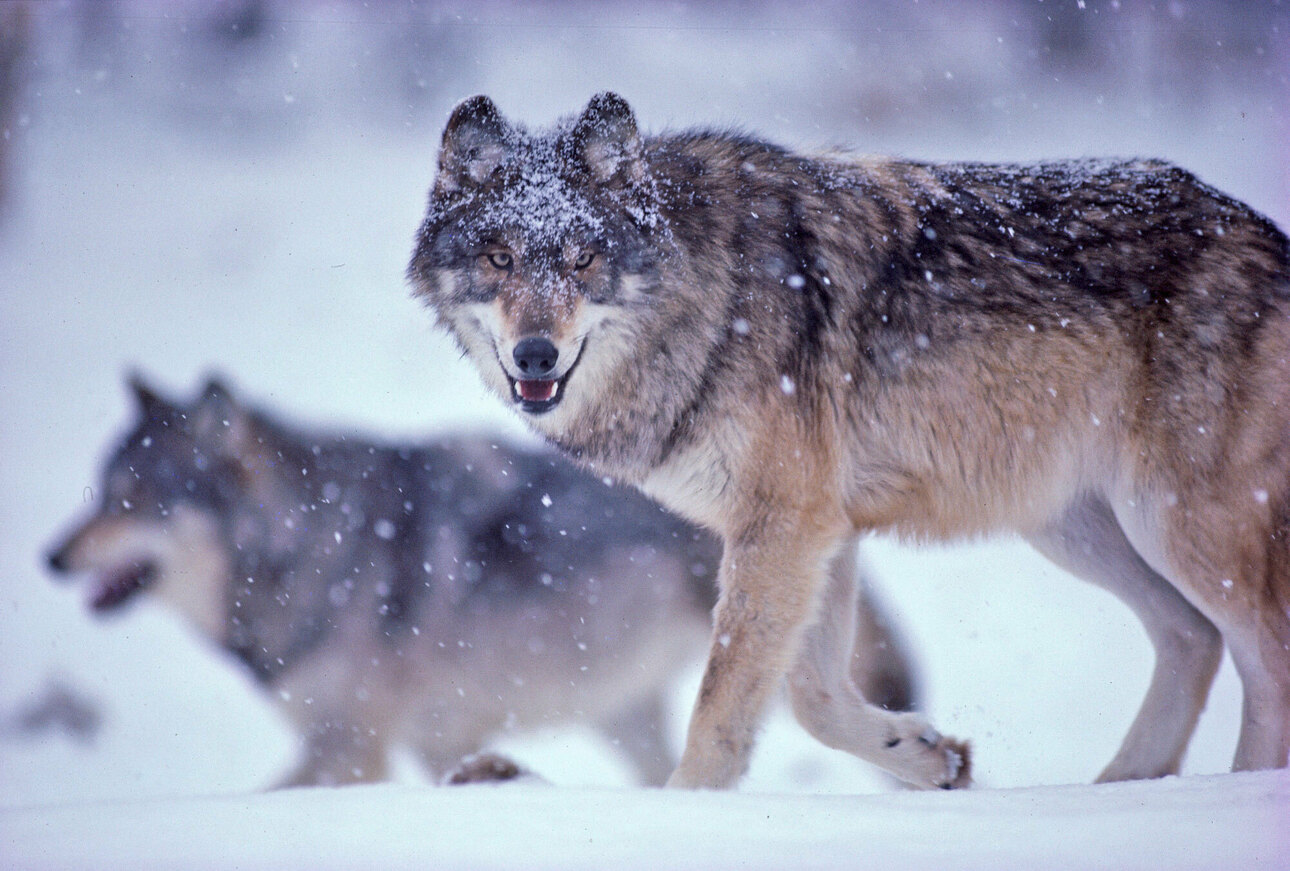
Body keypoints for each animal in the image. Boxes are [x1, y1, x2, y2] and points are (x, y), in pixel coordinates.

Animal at [47, 374, 918, 789]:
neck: (314, 543)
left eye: (138, 499)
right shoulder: (435, 738)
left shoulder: (351, 748)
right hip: (623, 712)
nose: (50, 557)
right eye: (100, 489)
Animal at [410, 93, 1290, 789]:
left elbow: (724, 706)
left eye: (583, 258)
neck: (709, 298)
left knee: (1264, 655)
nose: (535, 355)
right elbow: (812, 699)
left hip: (1177, 524)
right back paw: (1123, 787)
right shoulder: (811, 529)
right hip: (1073, 525)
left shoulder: (786, 524)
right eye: (500, 257)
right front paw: (930, 756)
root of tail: (1263, 229)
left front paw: (685, 812)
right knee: (1191, 637)